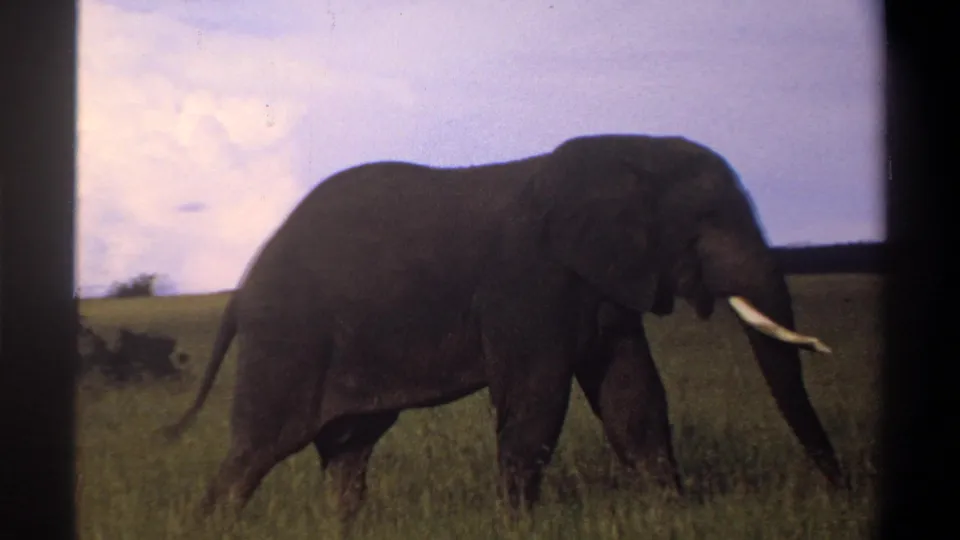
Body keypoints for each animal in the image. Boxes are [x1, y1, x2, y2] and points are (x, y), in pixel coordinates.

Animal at [162, 133, 843, 523]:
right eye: (707, 221)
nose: (842, 489)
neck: (621, 152)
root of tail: (242, 287)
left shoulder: (602, 285)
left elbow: (634, 398)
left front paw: (672, 515)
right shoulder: (527, 282)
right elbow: (536, 399)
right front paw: (517, 525)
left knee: (349, 448)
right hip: (289, 338)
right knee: (258, 450)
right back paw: (211, 523)